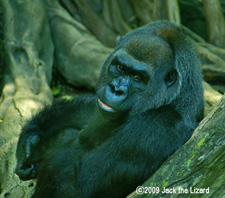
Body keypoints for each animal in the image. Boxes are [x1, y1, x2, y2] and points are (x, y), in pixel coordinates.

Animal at [14, 20, 203, 197]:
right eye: (120, 67)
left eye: (137, 77)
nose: (116, 89)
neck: (174, 98)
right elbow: (90, 111)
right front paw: (32, 139)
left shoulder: (158, 126)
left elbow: (75, 186)